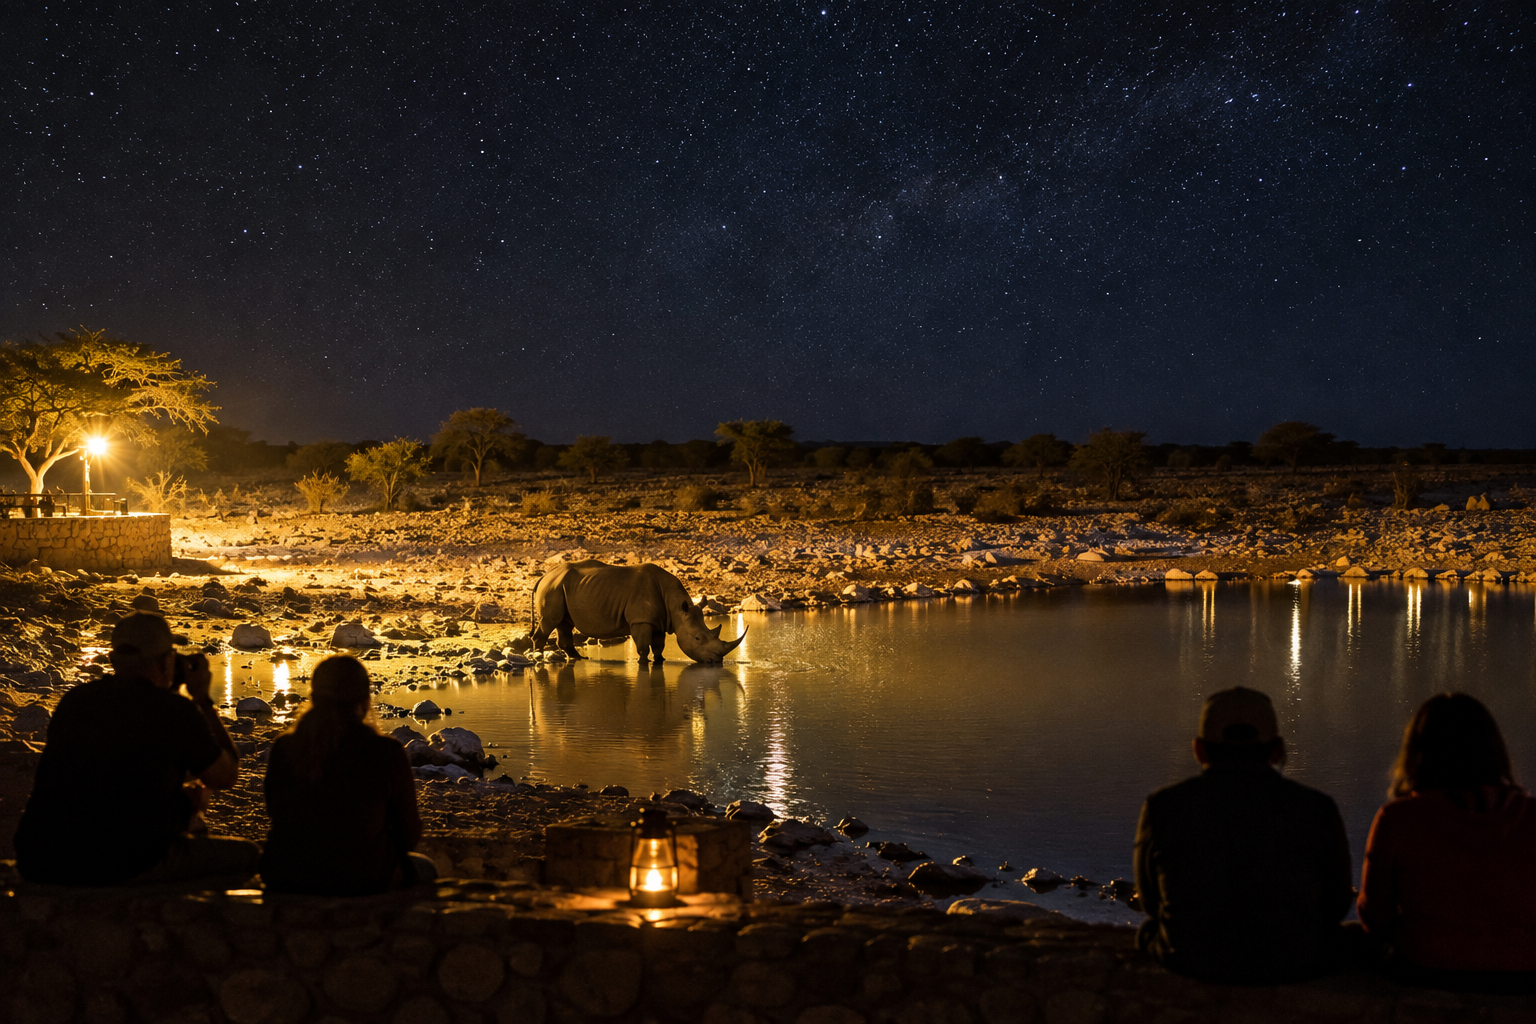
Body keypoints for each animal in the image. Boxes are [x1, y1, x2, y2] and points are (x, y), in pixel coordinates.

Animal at [531, 559, 746, 663]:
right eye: (698, 639)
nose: (716, 661)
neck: (677, 607)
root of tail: (544, 576)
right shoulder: (641, 620)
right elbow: (643, 645)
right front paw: (643, 662)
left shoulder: (660, 621)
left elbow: (658, 645)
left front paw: (660, 661)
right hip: (552, 588)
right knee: (550, 621)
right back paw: (538, 657)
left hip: (560, 587)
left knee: (564, 623)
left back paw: (578, 658)